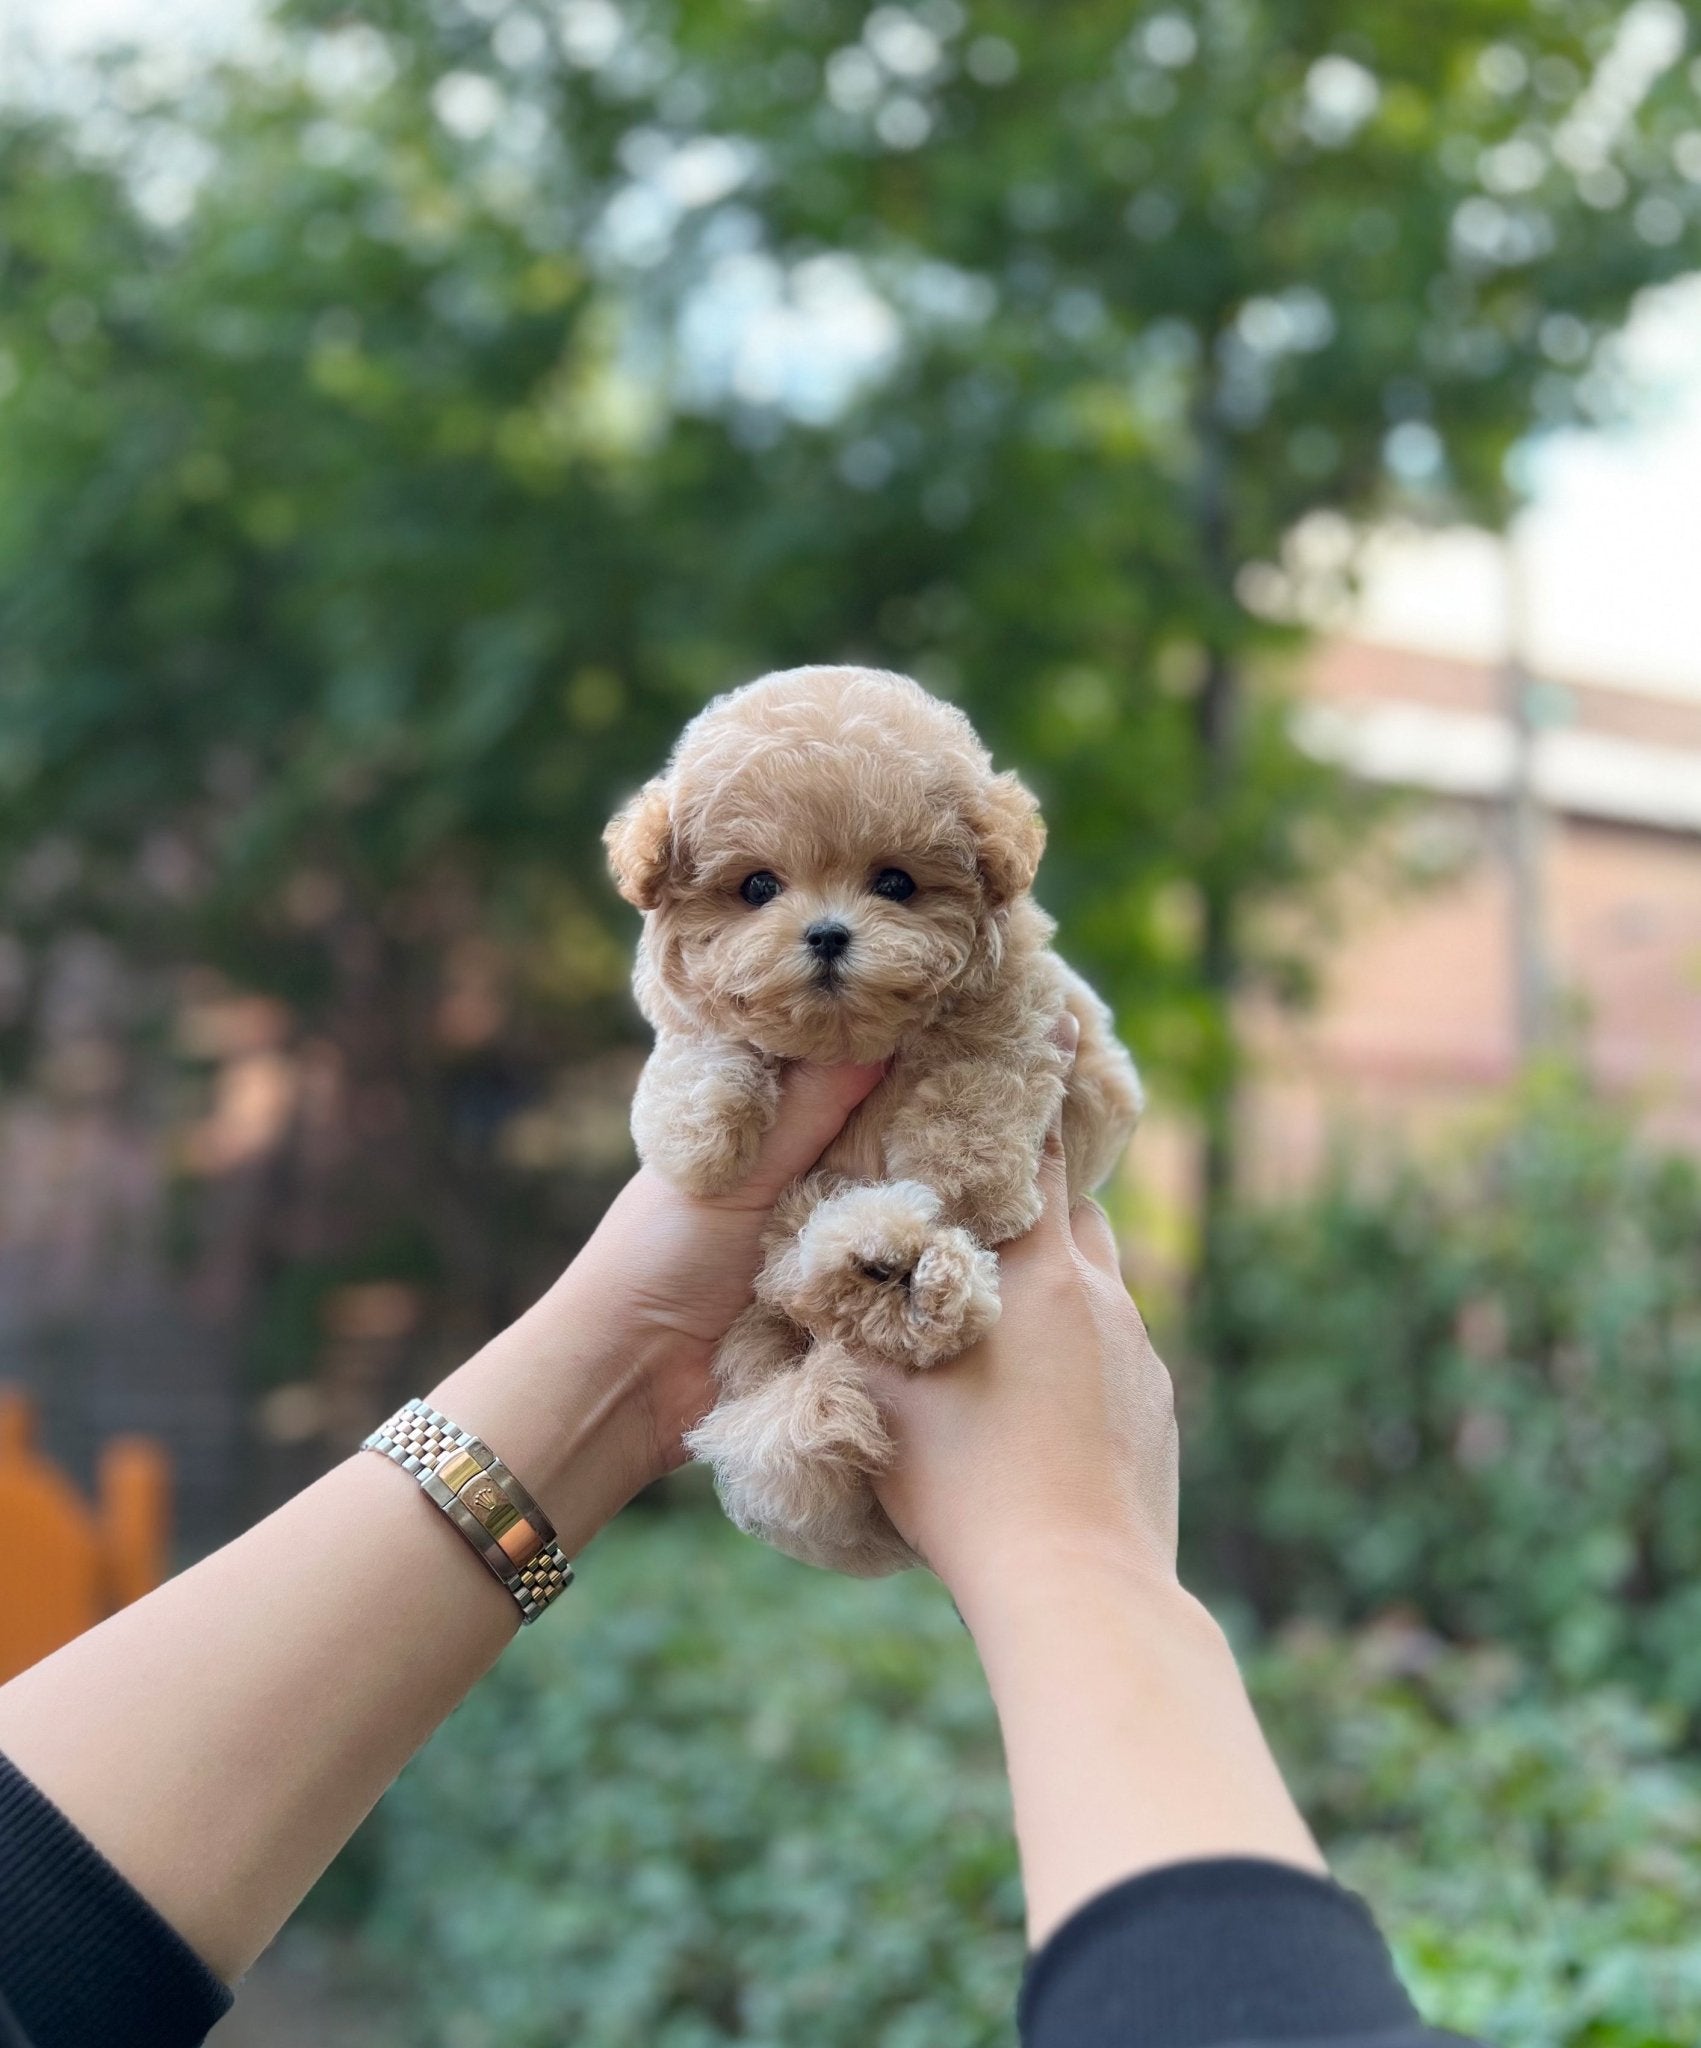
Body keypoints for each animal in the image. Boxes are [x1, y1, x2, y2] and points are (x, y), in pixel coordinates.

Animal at [601, 663, 1146, 1572]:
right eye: (757, 887)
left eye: (895, 883)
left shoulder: (1042, 1020)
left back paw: (911, 1274)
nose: (826, 934)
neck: (849, 1035)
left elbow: (979, 1074)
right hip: (779, 1258)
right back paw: (877, 1263)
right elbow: (699, 1045)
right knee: (804, 1276)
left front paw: (967, 1183)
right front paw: (705, 1128)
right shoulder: (684, 1019)